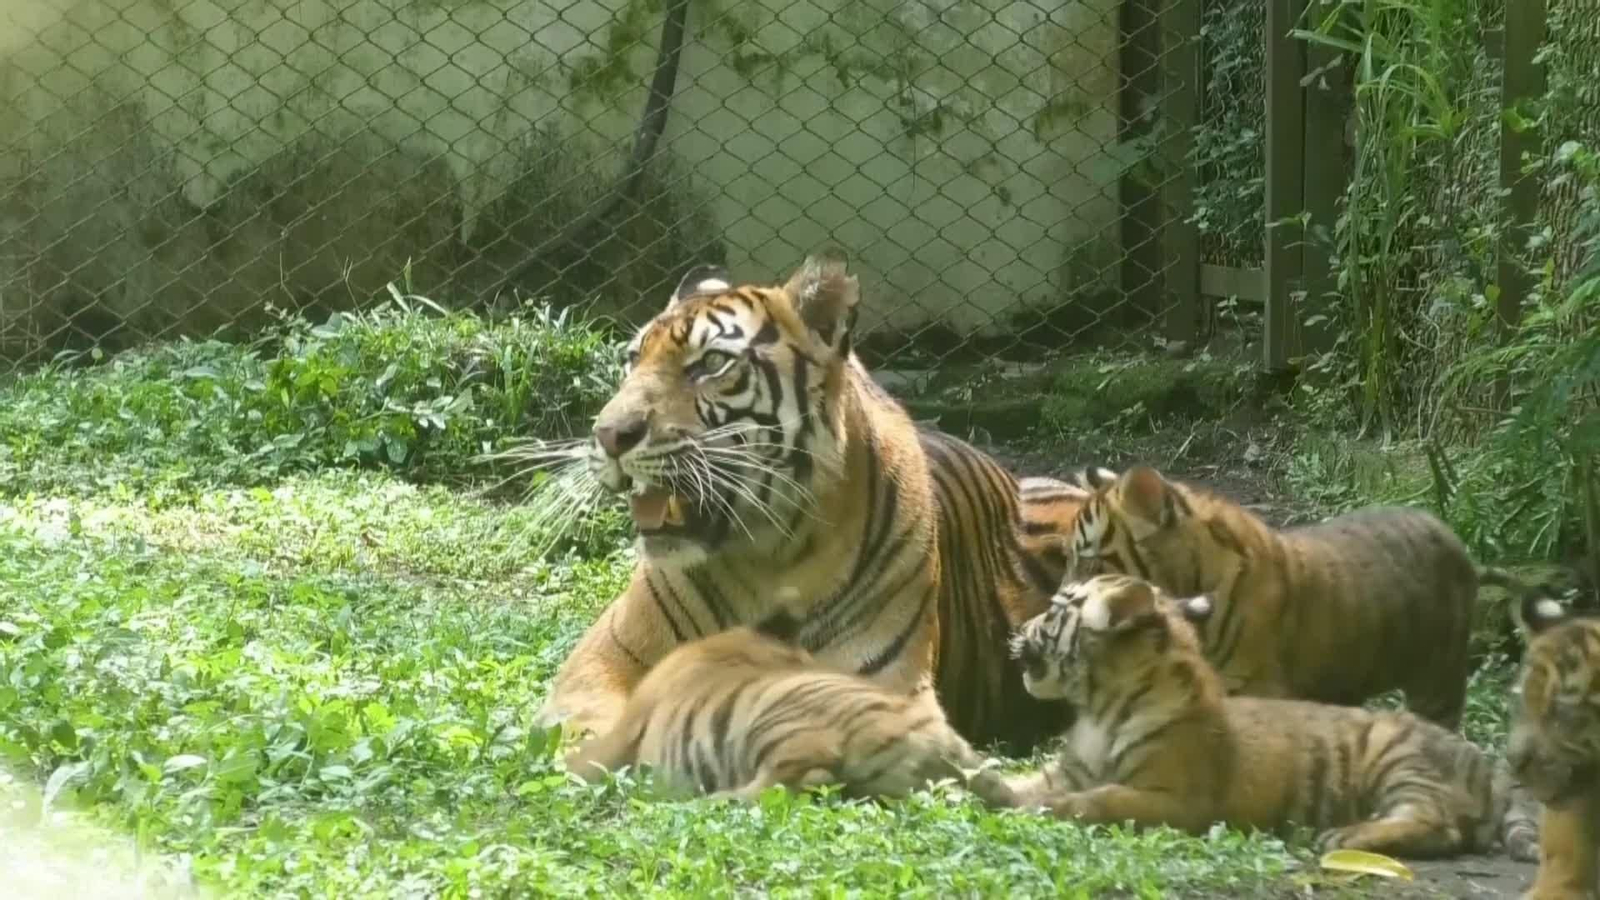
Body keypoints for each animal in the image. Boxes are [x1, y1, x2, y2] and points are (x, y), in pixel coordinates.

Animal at [534, 251, 1086, 753]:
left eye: (711, 363)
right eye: (632, 359)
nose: (609, 435)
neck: (762, 558)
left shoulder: (891, 687)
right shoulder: (596, 669)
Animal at [999, 573, 1541, 861]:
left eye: (1053, 612)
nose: (1018, 626)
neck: (1099, 706)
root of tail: (1484, 762)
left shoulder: (1177, 799)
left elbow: (1102, 799)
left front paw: (1046, 810)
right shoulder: (1068, 771)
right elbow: (1022, 781)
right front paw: (982, 785)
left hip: (1397, 755)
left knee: (1437, 824)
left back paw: (1345, 835)